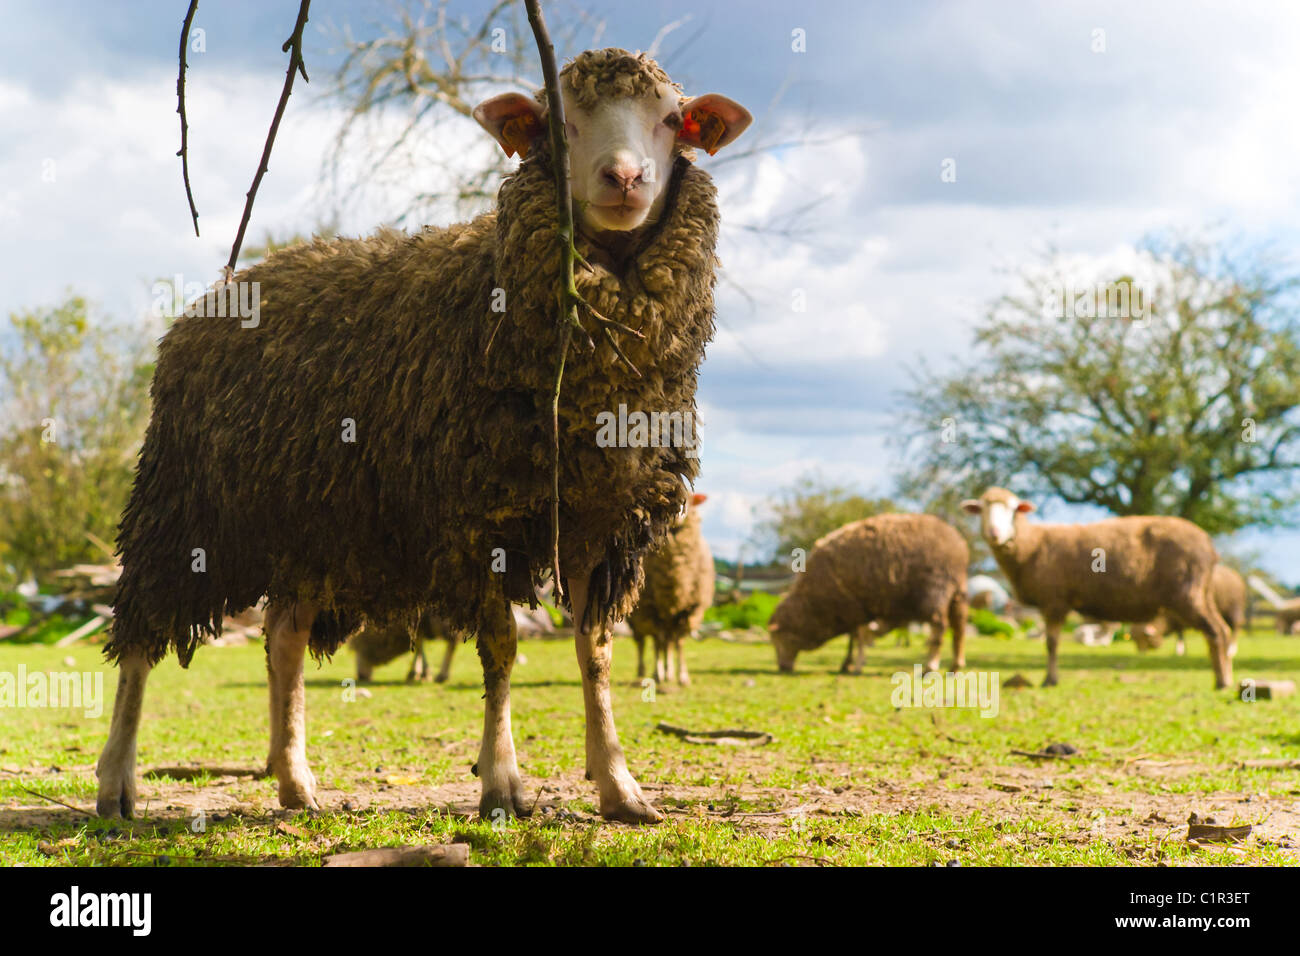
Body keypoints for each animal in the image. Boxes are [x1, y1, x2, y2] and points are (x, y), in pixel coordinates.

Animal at [627, 491, 714, 685]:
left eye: (690, 500)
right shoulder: (652, 608)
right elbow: (657, 641)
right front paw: (658, 674)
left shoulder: (688, 610)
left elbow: (679, 642)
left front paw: (682, 676)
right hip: (637, 617)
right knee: (644, 642)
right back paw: (643, 673)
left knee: (668, 642)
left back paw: (669, 672)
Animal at [767, 513, 970, 675]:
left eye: (778, 638)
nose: (782, 667)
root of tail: (958, 544)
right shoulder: (857, 610)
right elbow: (856, 638)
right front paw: (850, 664)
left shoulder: (854, 608)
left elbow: (856, 639)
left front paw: (852, 665)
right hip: (957, 592)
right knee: (959, 627)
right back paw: (955, 666)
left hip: (936, 589)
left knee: (939, 627)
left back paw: (930, 666)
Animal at [961, 487, 1234, 689]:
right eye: (982, 509)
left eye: (1012, 509)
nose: (994, 532)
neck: (1031, 545)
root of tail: (1208, 545)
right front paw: (1051, 678)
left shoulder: (1054, 601)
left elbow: (1051, 644)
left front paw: (1050, 680)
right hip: (1202, 592)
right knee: (1223, 630)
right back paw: (1225, 678)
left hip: (1188, 593)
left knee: (1214, 632)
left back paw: (1222, 681)